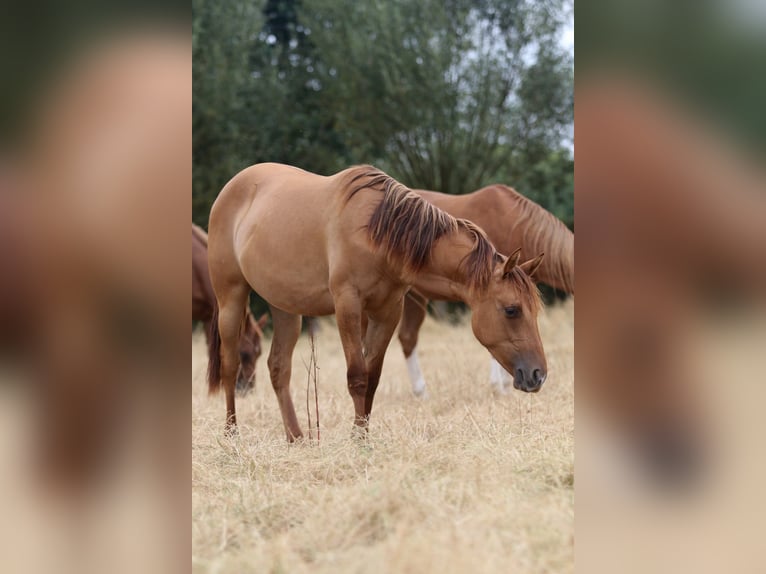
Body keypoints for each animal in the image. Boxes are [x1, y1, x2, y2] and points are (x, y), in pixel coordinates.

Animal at [206, 163, 547, 439]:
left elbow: (372, 378)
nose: (538, 375)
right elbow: (357, 377)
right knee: (230, 365)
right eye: (512, 310)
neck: (378, 234)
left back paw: (297, 438)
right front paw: (358, 440)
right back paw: (231, 433)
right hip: (231, 298)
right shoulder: (348, 306)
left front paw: (363, 436)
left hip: (285, 307)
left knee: (279, 368)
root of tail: (231, 187)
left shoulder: (388, 311)